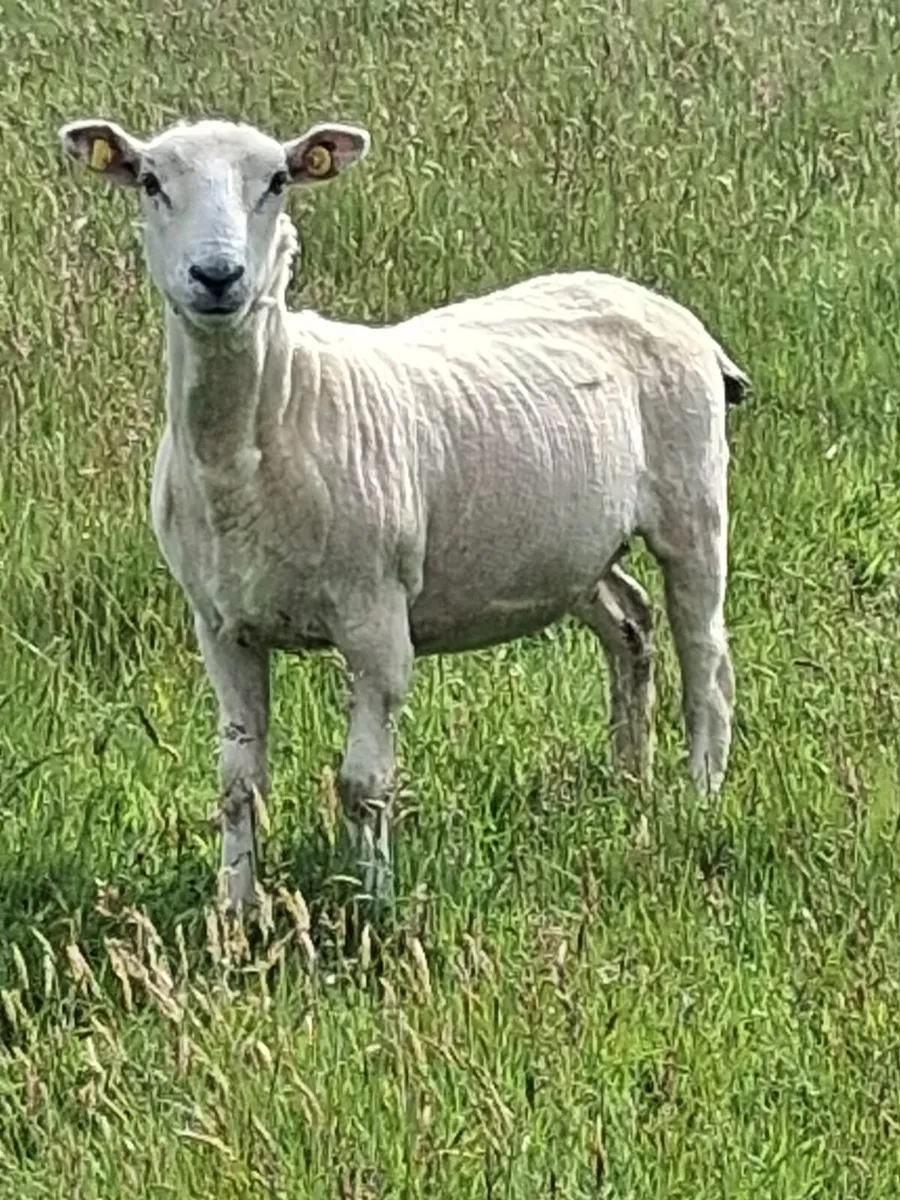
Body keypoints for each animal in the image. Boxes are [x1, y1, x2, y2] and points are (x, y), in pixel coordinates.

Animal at [59, 114, 749, 914]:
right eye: (149, 182)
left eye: (278, 181)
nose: (218, 276)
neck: (264, 432)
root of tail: (657, 302)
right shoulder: (221, 626)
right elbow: (237, 785)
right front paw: (235, 912)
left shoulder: (377, 621)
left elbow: (363, 785)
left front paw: (373, 908)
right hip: (568, 547)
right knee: (630, 625)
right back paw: (628, 782)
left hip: (693, 501)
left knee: (706, 659)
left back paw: (699, 798)